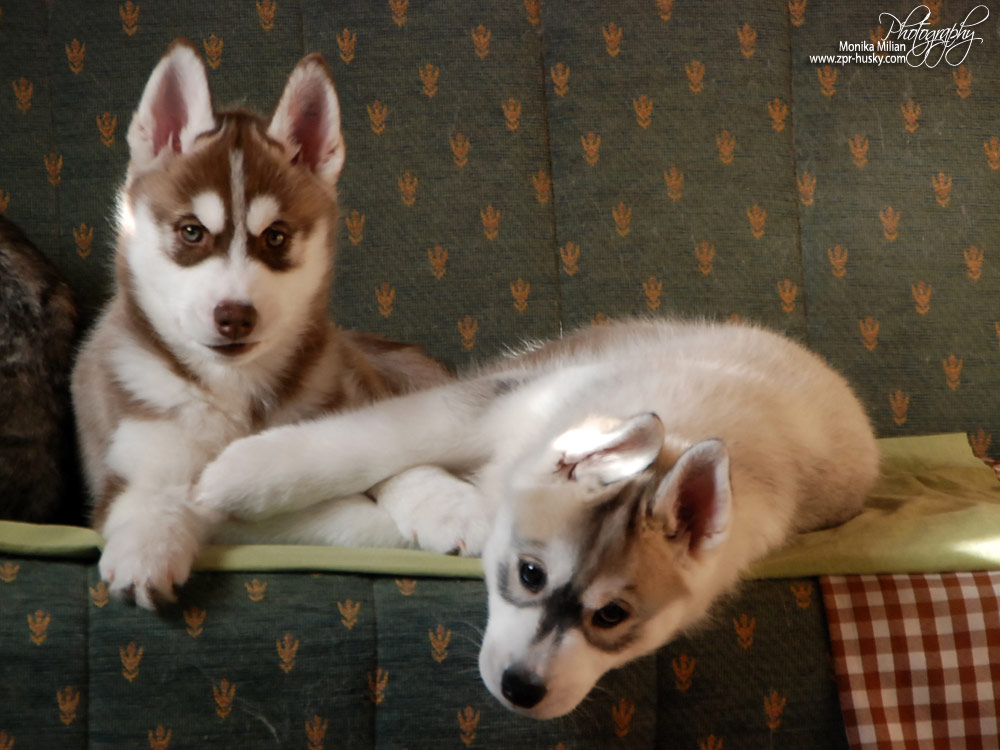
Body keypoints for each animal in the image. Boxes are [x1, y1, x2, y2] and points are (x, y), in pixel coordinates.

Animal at [71, 40, 485, 610]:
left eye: (276, 237)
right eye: (192, 232)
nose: (235, 316)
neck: (236, 393)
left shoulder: (355, 398)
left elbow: (398, 460)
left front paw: (450, 507)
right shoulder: (131, 465)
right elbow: (155, 498)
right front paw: (148, 546)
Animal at [194, 317, 880, 719]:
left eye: (612, 616)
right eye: (530, 575)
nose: (521, 690)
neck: (683, 433)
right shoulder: (481, 410)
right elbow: (365, 444)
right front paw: (239, 477)